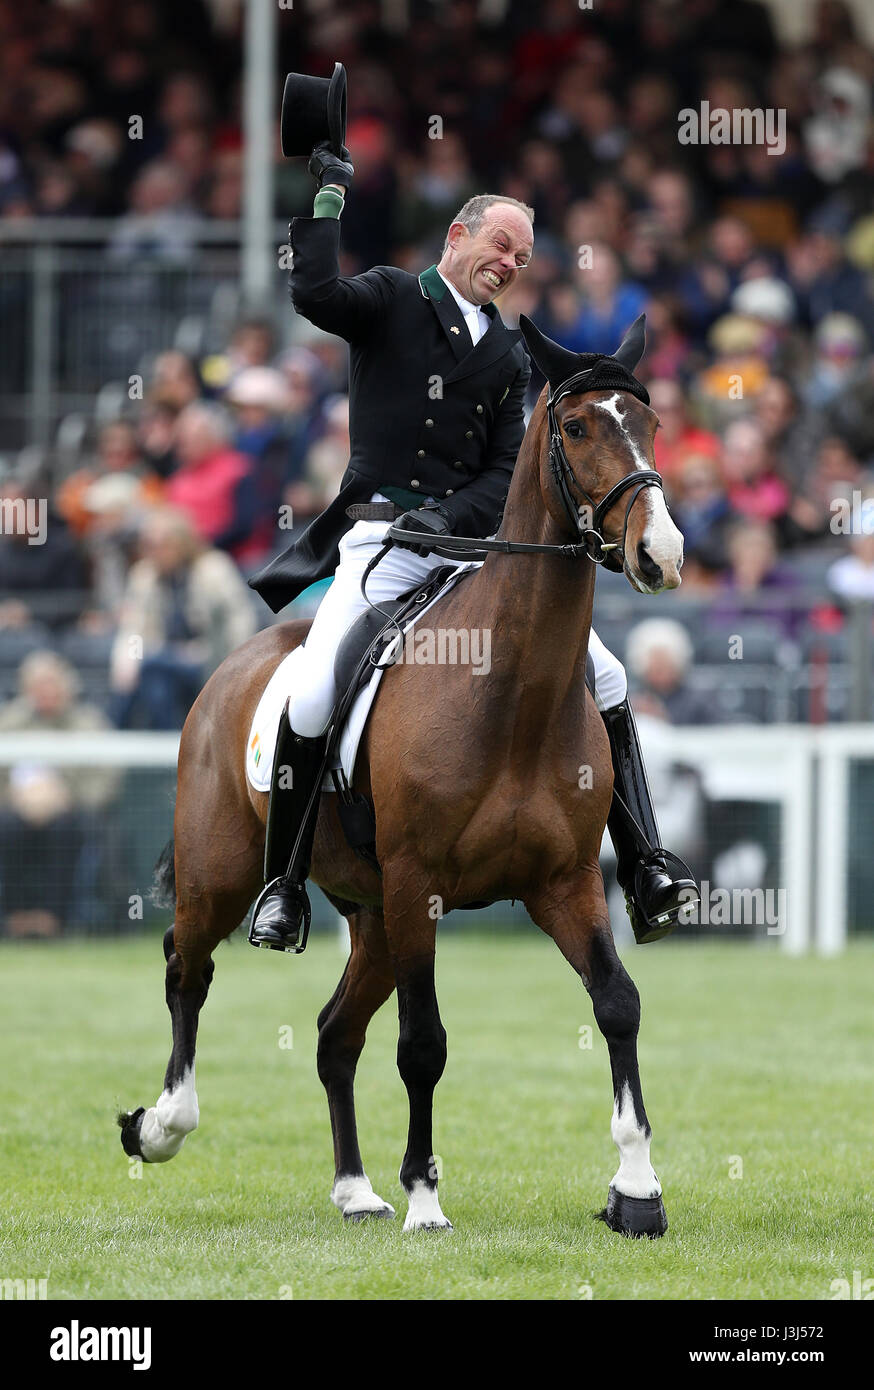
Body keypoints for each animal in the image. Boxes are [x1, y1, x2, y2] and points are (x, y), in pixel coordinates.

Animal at [119, 318, 686, 1239]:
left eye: (652, 423)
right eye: (576, 427)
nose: (659, 553)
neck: (512, 691)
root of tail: (232, 665)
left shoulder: (564, 883)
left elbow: (618, 1003)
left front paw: (636, 1190)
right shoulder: (421, 885)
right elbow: (424, 1044)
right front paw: (427, 1197)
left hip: (374, 915)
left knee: (332, 1034)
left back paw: (354, 1189)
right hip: (224, 876)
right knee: (185, 968)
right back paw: (163, 1124)